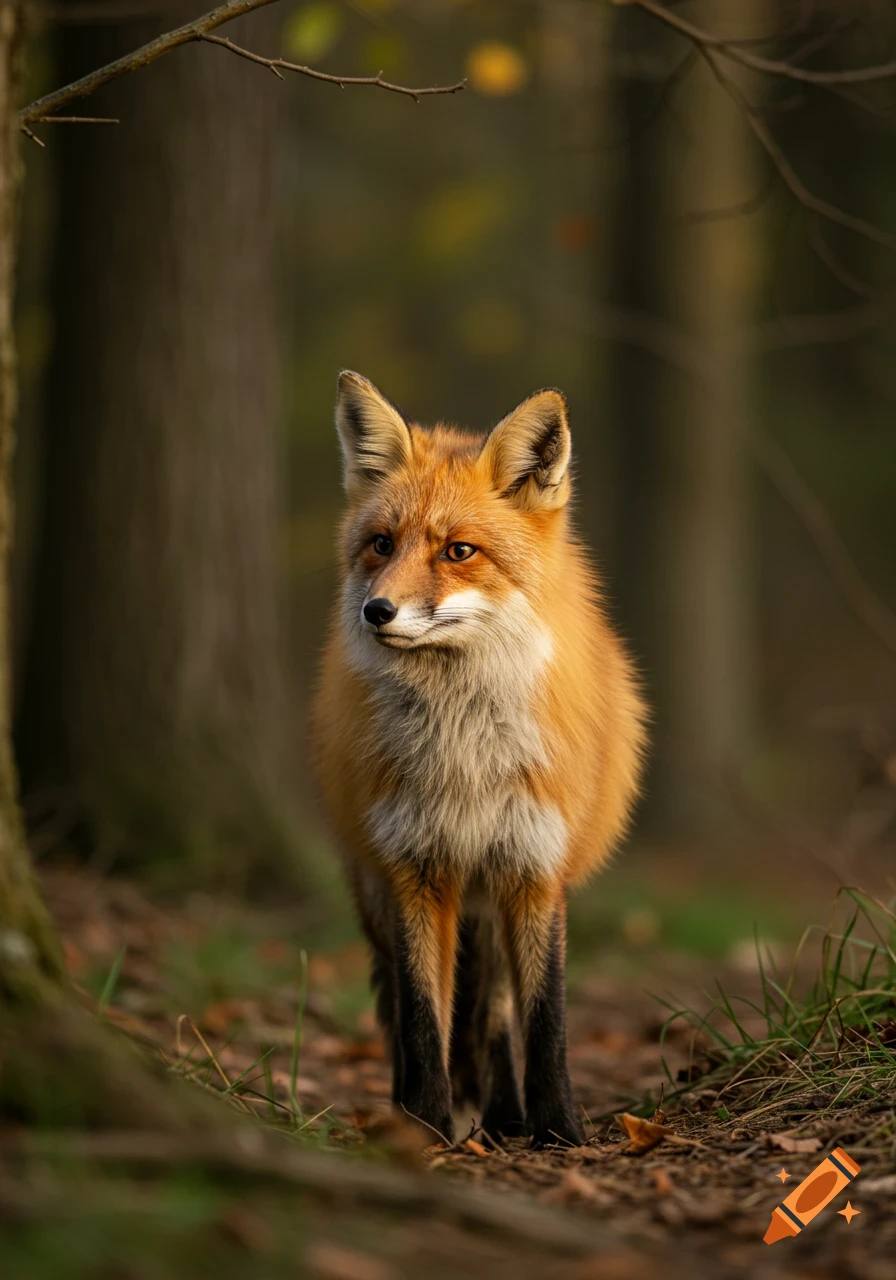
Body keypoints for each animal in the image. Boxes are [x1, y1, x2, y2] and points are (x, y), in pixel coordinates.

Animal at [311, 371, 647, 1148]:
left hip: (491, 895)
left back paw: (507, 1116)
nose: (377, 611)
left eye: (458, 551)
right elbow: (421, 1016)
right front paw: (429, 1126)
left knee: (493, 1008)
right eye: (381, 544)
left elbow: (544, 1016)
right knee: (415, 1006)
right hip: (379, 887)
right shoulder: (413, 870)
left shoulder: (534, 869)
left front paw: (559, 1129)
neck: (463, 753)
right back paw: (424, 1105)